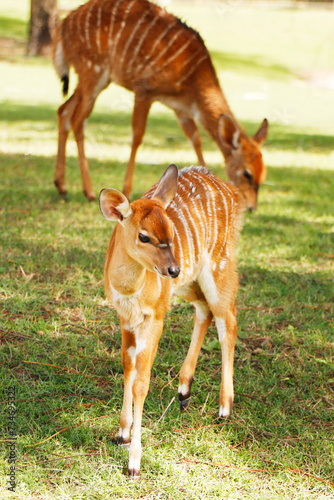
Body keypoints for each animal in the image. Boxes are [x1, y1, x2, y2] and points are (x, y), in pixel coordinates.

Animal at [52, 0, 268, 209]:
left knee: (63, 110)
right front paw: (127, 190)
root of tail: (64, 24)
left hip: (94, 78)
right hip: (92, 71)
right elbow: (137, 135)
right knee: (78, 119)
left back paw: (61, 186)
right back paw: (88, 191)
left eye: (263, 175)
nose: (251, 207)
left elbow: (195, 138)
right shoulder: (144, 90)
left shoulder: (181, 108)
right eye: (247, 173)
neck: (193, 80)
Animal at [99, 163, 243, 476]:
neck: (129, 291)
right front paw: (121, 434)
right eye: (143, 236)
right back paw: (184, 390)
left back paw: (224, 408)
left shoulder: (156, 316)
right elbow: (127, 367)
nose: (172, 269)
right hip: (189, 282)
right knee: (205, 310)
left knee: (228, 318)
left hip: (219, 264)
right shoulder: (124, 318)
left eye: (171, 233)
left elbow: (141, 382)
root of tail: (233, 192)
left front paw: (134, 462)